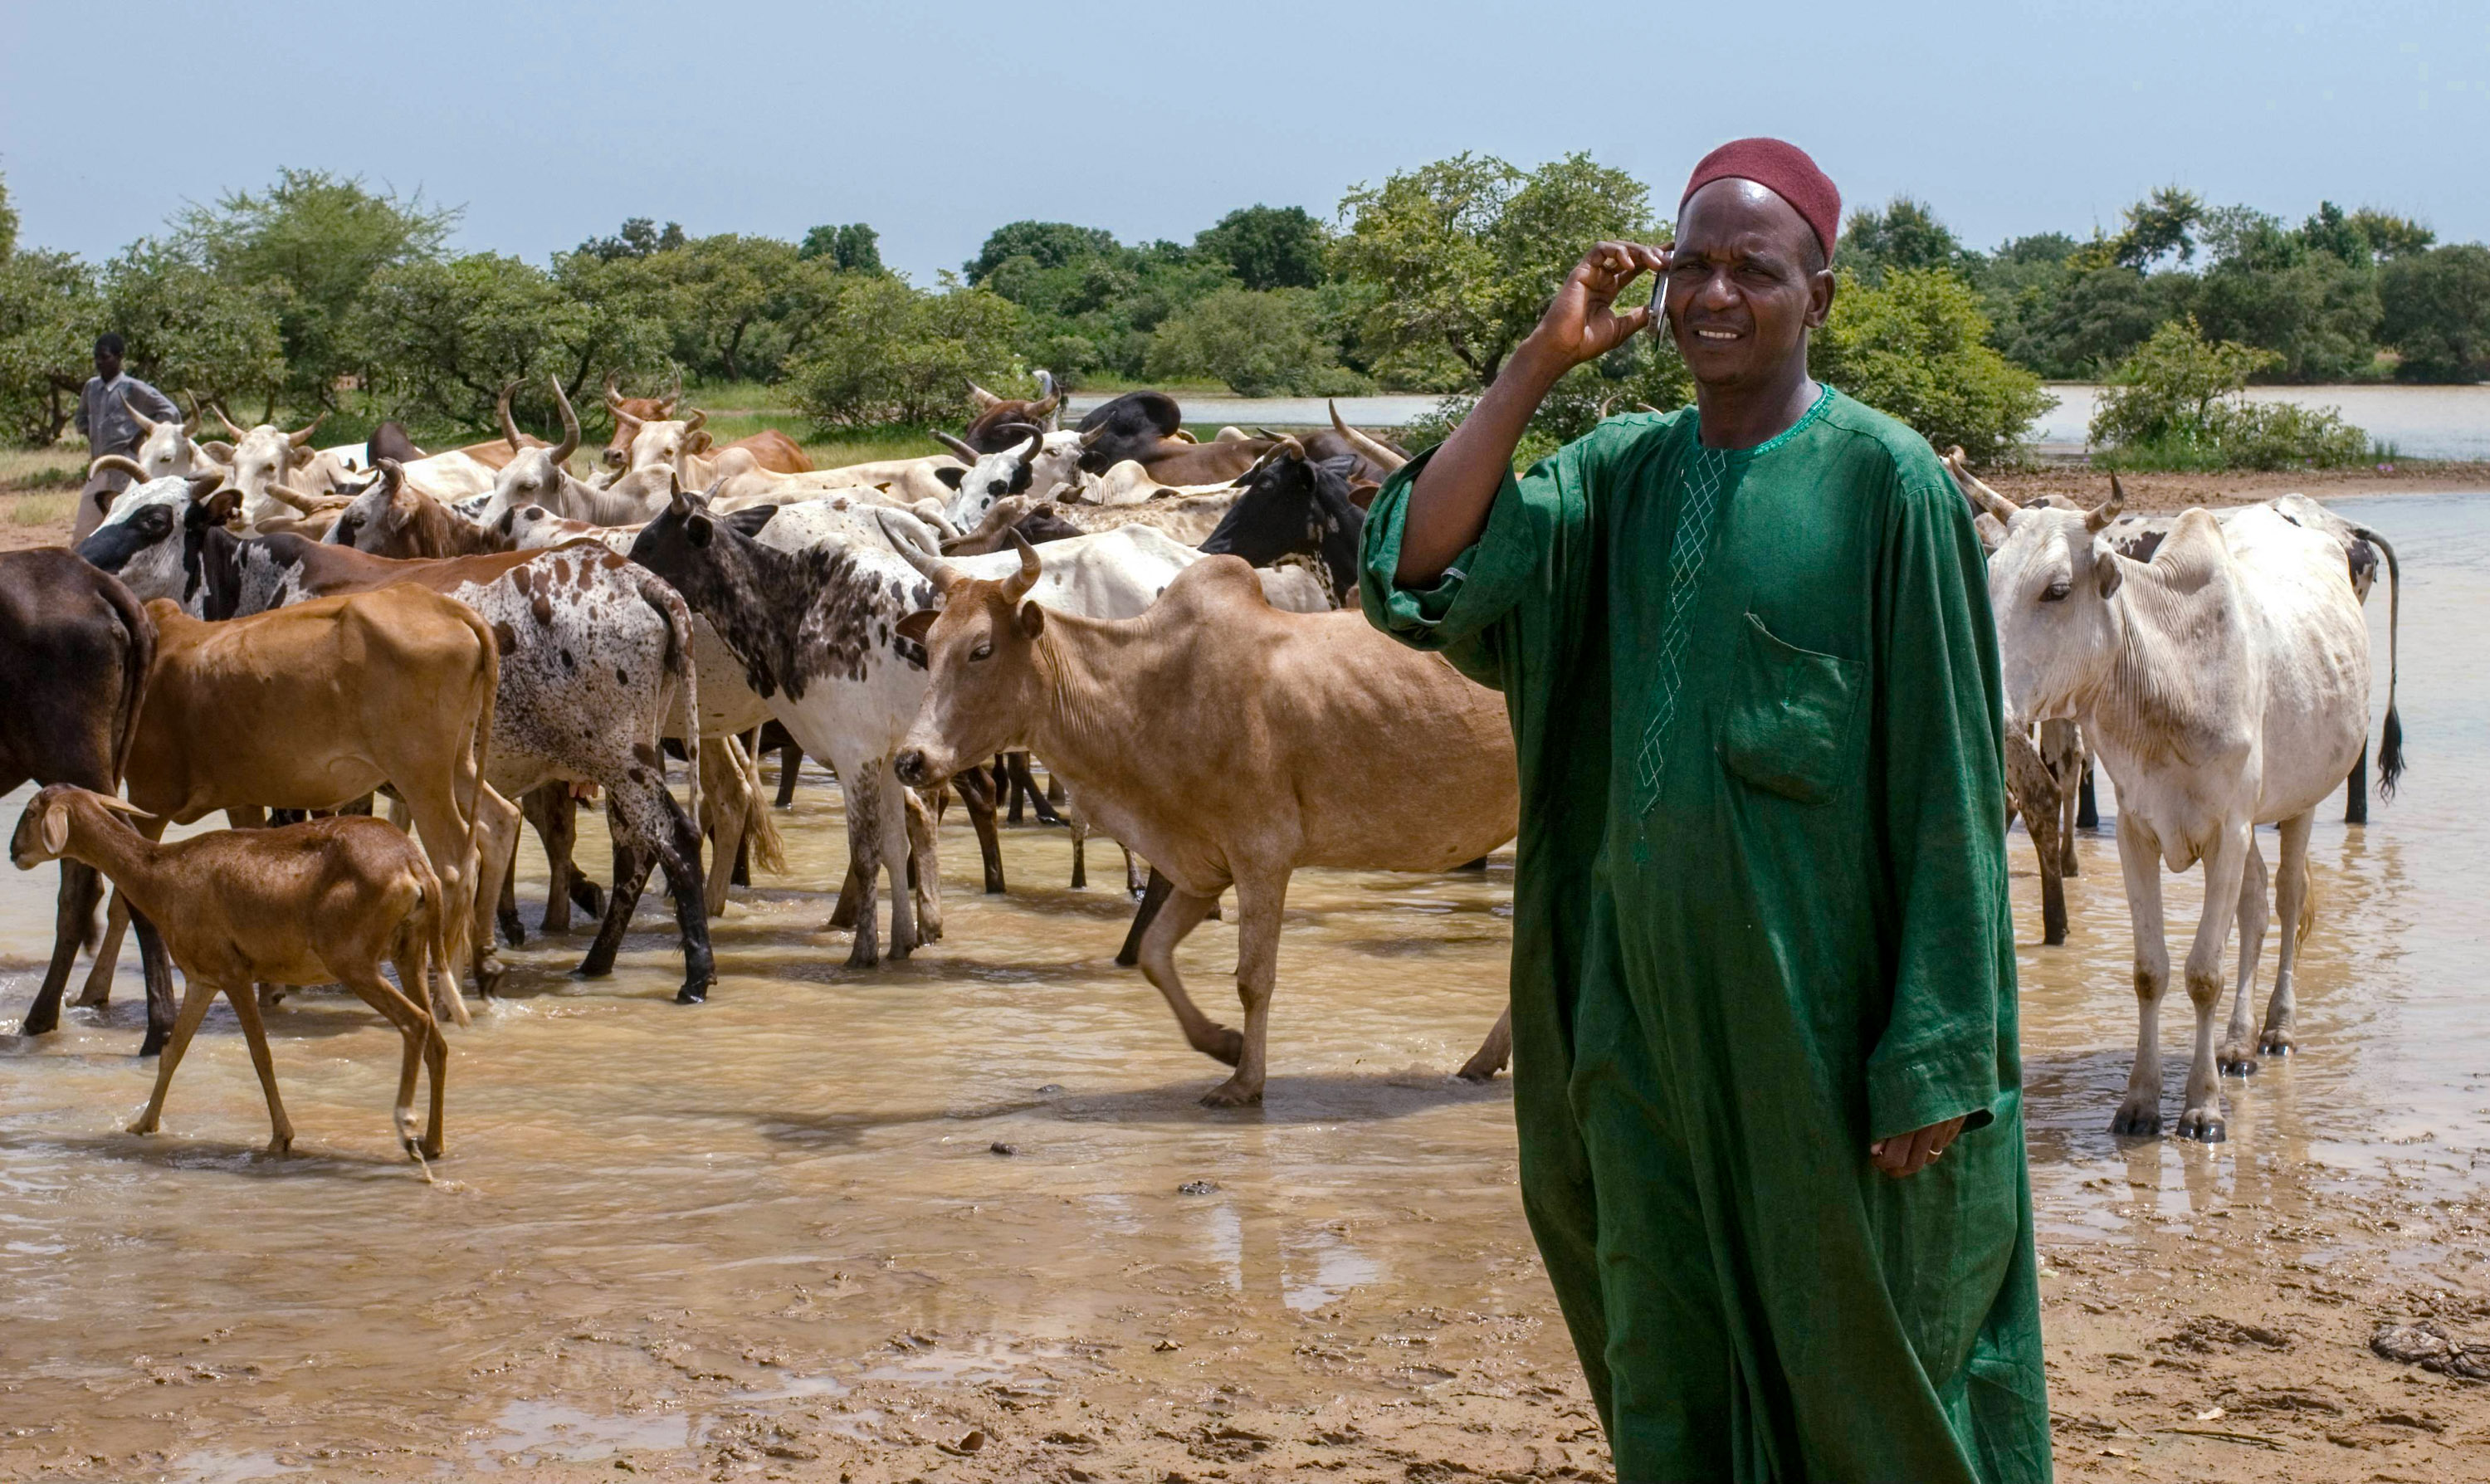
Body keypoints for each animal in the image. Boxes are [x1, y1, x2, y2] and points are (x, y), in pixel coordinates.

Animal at [12, 782, 458, 1165]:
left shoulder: (233, 971)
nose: (14, 852)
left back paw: (406, 1128)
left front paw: (281, 1137)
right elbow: (172, 1052)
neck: (161, 879)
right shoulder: (202, 977)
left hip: (353, 959)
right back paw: (433, 1142)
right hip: (409, 952)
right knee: (437, 1040)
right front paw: (142, 1124)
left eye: (31, 812)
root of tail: (416, 866)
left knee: (416, 1023)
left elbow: (260, 1054)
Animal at [896, 540, 1514, 1106]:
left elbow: (1252, 978)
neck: (1150, 691)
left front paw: (1245, 1081)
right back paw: (1483, 1061)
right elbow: (1152, 955)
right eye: (929, 648)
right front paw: (1223, 1043)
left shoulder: (1262, 856)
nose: (910, 760)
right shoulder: (1200, 868)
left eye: (982, 650)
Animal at [1982, 481, 2370, 1140]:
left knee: (2288, 900)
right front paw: (2140, 1102)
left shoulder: (2228, 832)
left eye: (2056, 589)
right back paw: (2236, 1044)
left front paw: (2202, 1108)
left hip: (2301, 801)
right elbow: (2152, 970)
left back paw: (2276, 1029)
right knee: (2256, 906)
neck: (2171, 675)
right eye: (1988, 576)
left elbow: (2204, 973)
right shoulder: (2138, 831)